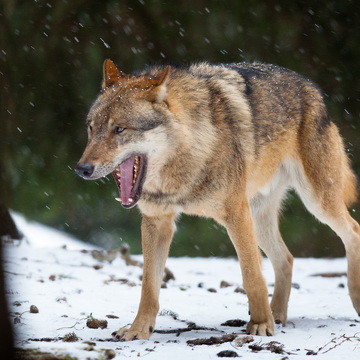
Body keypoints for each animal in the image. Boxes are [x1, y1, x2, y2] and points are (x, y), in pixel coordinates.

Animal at [76, 59, 360, 340]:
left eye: (119, 129)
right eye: (91, 128)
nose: (82, 169)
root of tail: (312, 88)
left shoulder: (236, 215)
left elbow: (252, 276)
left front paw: (260, 325)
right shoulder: (157, 223)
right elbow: (148, 286)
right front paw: (138, 330)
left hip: (317, 203)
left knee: (353, 231)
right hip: (261, 221)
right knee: (286, 258)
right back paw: (278, 315)